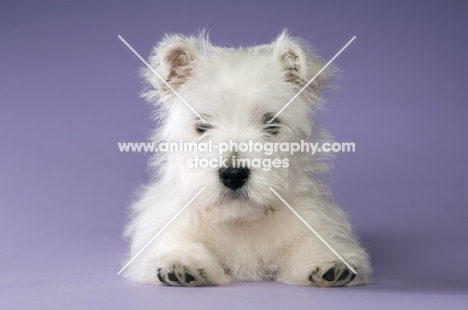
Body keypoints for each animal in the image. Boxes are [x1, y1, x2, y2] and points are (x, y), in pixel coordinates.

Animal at [122, 30, 372, 286]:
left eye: (271, 123)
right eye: (203, 125)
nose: (233, 174)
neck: (240, 223)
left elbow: (311, 243)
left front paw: (328, 262)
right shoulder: (172, 227)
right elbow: (178, 243)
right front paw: (180, 261)